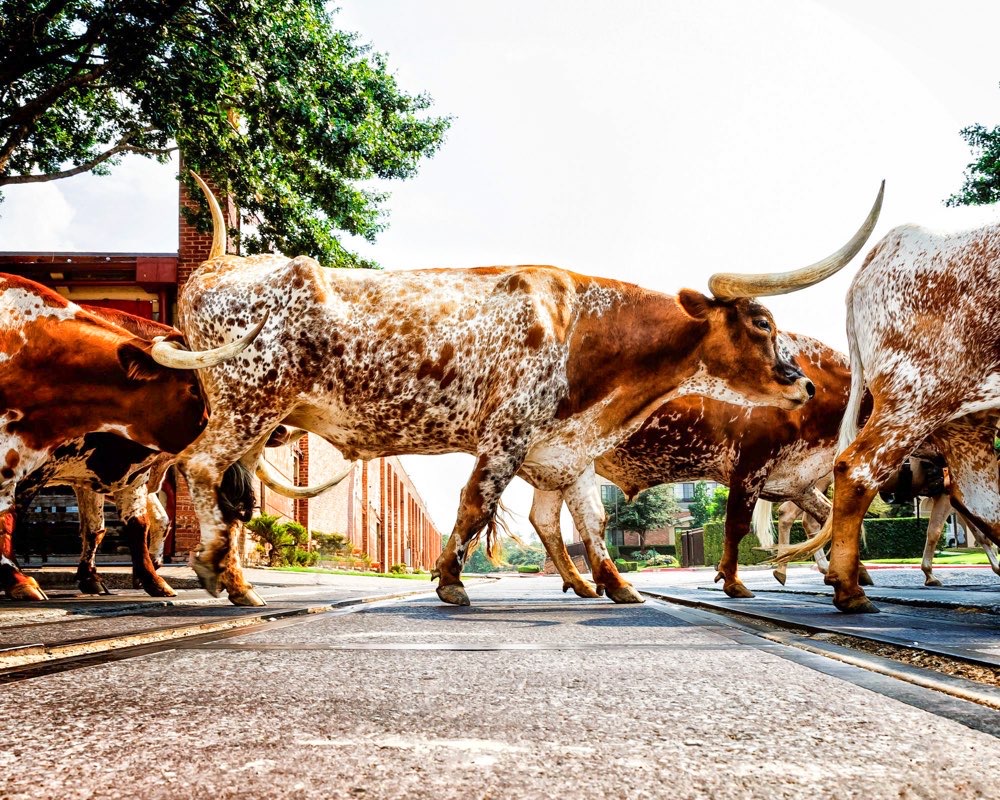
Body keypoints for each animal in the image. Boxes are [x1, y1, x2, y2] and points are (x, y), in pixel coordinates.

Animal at [0, 273, 263, 601]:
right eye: (195, 389)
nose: (246, 504)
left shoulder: (115, 474)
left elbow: (120, 526)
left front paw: (142, 579)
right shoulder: (30, 466)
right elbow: (9, 517)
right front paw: (18, 580)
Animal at [150, 174, 882, 606]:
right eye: (761, 324)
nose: (802, 382)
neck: (582, 326)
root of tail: (217, 268)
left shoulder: (567, 447)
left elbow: (587, 522)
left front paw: (615, 585)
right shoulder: (509, 430)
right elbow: (476, 502)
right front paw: (450, 581)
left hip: (260, 418)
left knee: (231, 488)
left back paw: (236, 582)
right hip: (249, 402)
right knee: (199, 468)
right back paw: (210, 568)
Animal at [775, 215, 1000, 613]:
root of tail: (896, 240)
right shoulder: (943, 488)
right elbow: (949, 528)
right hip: (920, 396)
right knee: (844, 481)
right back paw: (844, 585)